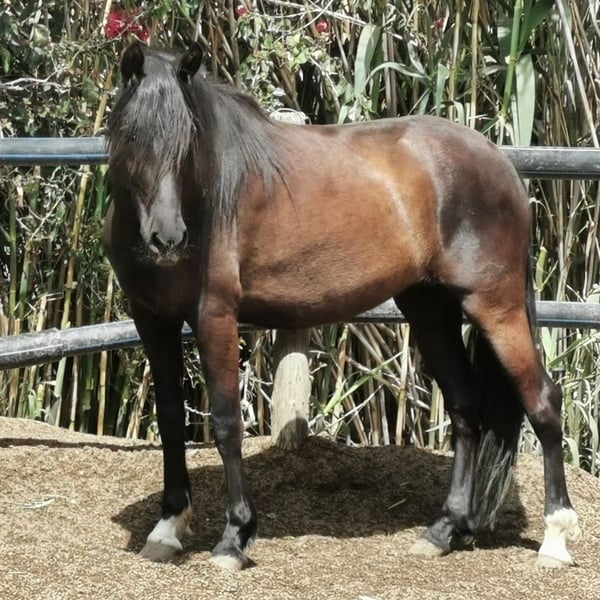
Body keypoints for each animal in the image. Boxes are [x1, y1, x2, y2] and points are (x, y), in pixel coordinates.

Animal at [103, 42, 580, 570]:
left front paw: (234, 537)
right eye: (131, 135)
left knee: (543, 402)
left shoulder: (215, 317)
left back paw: (556, 537)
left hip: (495, 306)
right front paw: (168, 526)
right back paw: (444, 529)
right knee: (465, 405)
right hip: (429, 309)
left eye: (188, 138)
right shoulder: (151, 319)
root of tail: (500, 161)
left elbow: (227, 423)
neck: (203, 197)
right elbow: (170, 417)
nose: (166, 238)